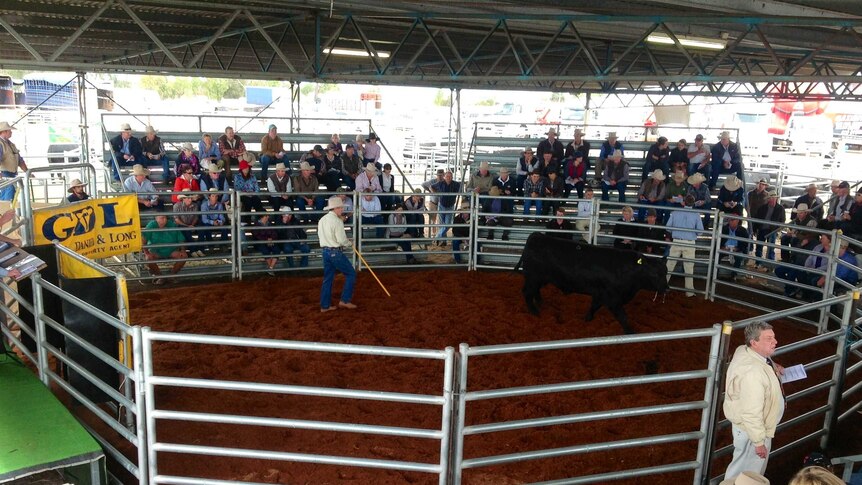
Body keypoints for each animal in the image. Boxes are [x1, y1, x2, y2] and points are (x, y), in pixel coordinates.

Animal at [516, 233, 672, 332]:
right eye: (654, 273)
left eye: (665, 272)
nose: (666, 288)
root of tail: (536, 235)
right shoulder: (612, 298)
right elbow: (623, 317)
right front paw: (630, 332)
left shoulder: (600, 294)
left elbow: (594, 307)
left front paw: (587, 319)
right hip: (533, 277)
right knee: (527, 292)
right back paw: (534, 312)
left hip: (540, 279)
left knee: (535, 291)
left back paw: (540, 303)